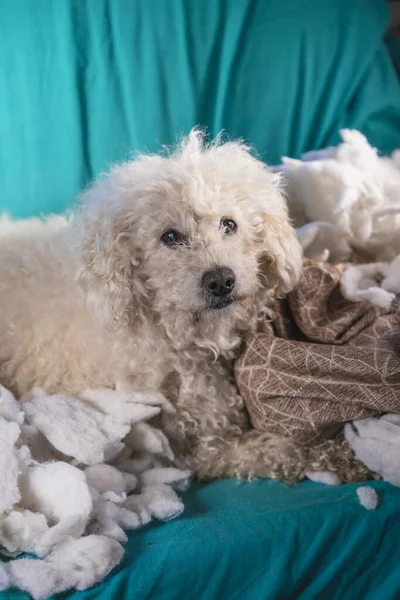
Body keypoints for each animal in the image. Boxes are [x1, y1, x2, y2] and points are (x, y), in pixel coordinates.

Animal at [0, 131, 304, 478]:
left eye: (229, 224)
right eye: (169, 237)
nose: (221, 280)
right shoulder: (198, 449)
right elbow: (267, 452)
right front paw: (317, 452)